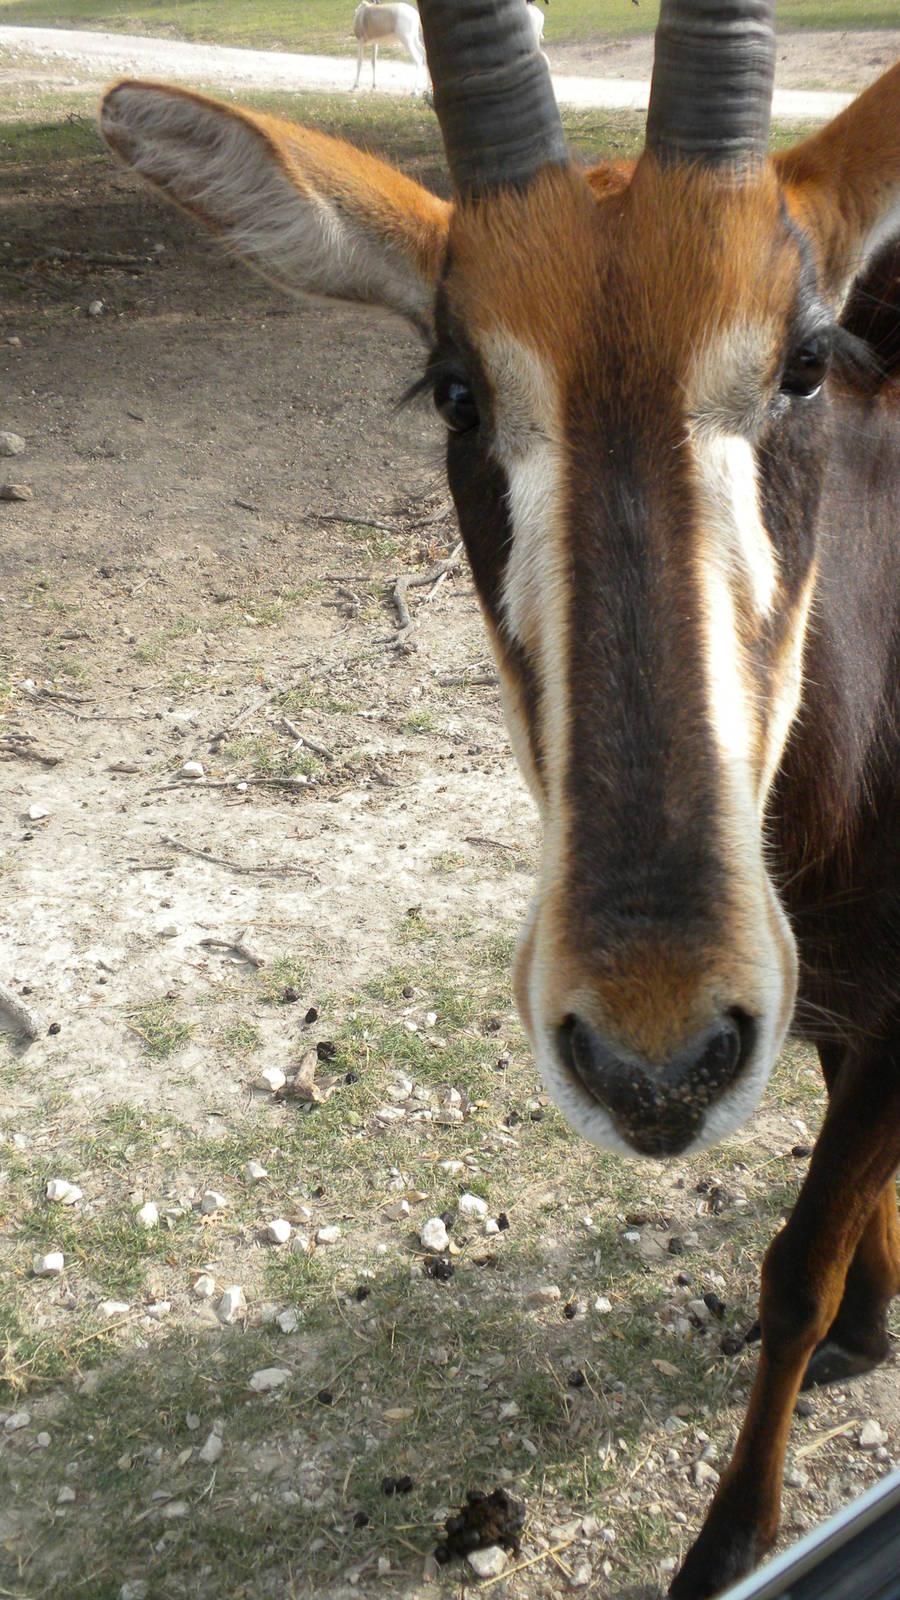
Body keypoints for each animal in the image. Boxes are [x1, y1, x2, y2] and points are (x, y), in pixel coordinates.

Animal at [99, 0, 900, 1593]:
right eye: (459, 390)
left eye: (802, 361)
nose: (656, 1056)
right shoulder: (845, 1000)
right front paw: (869, 1325)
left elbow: (793, 1255)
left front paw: (734, 1536)